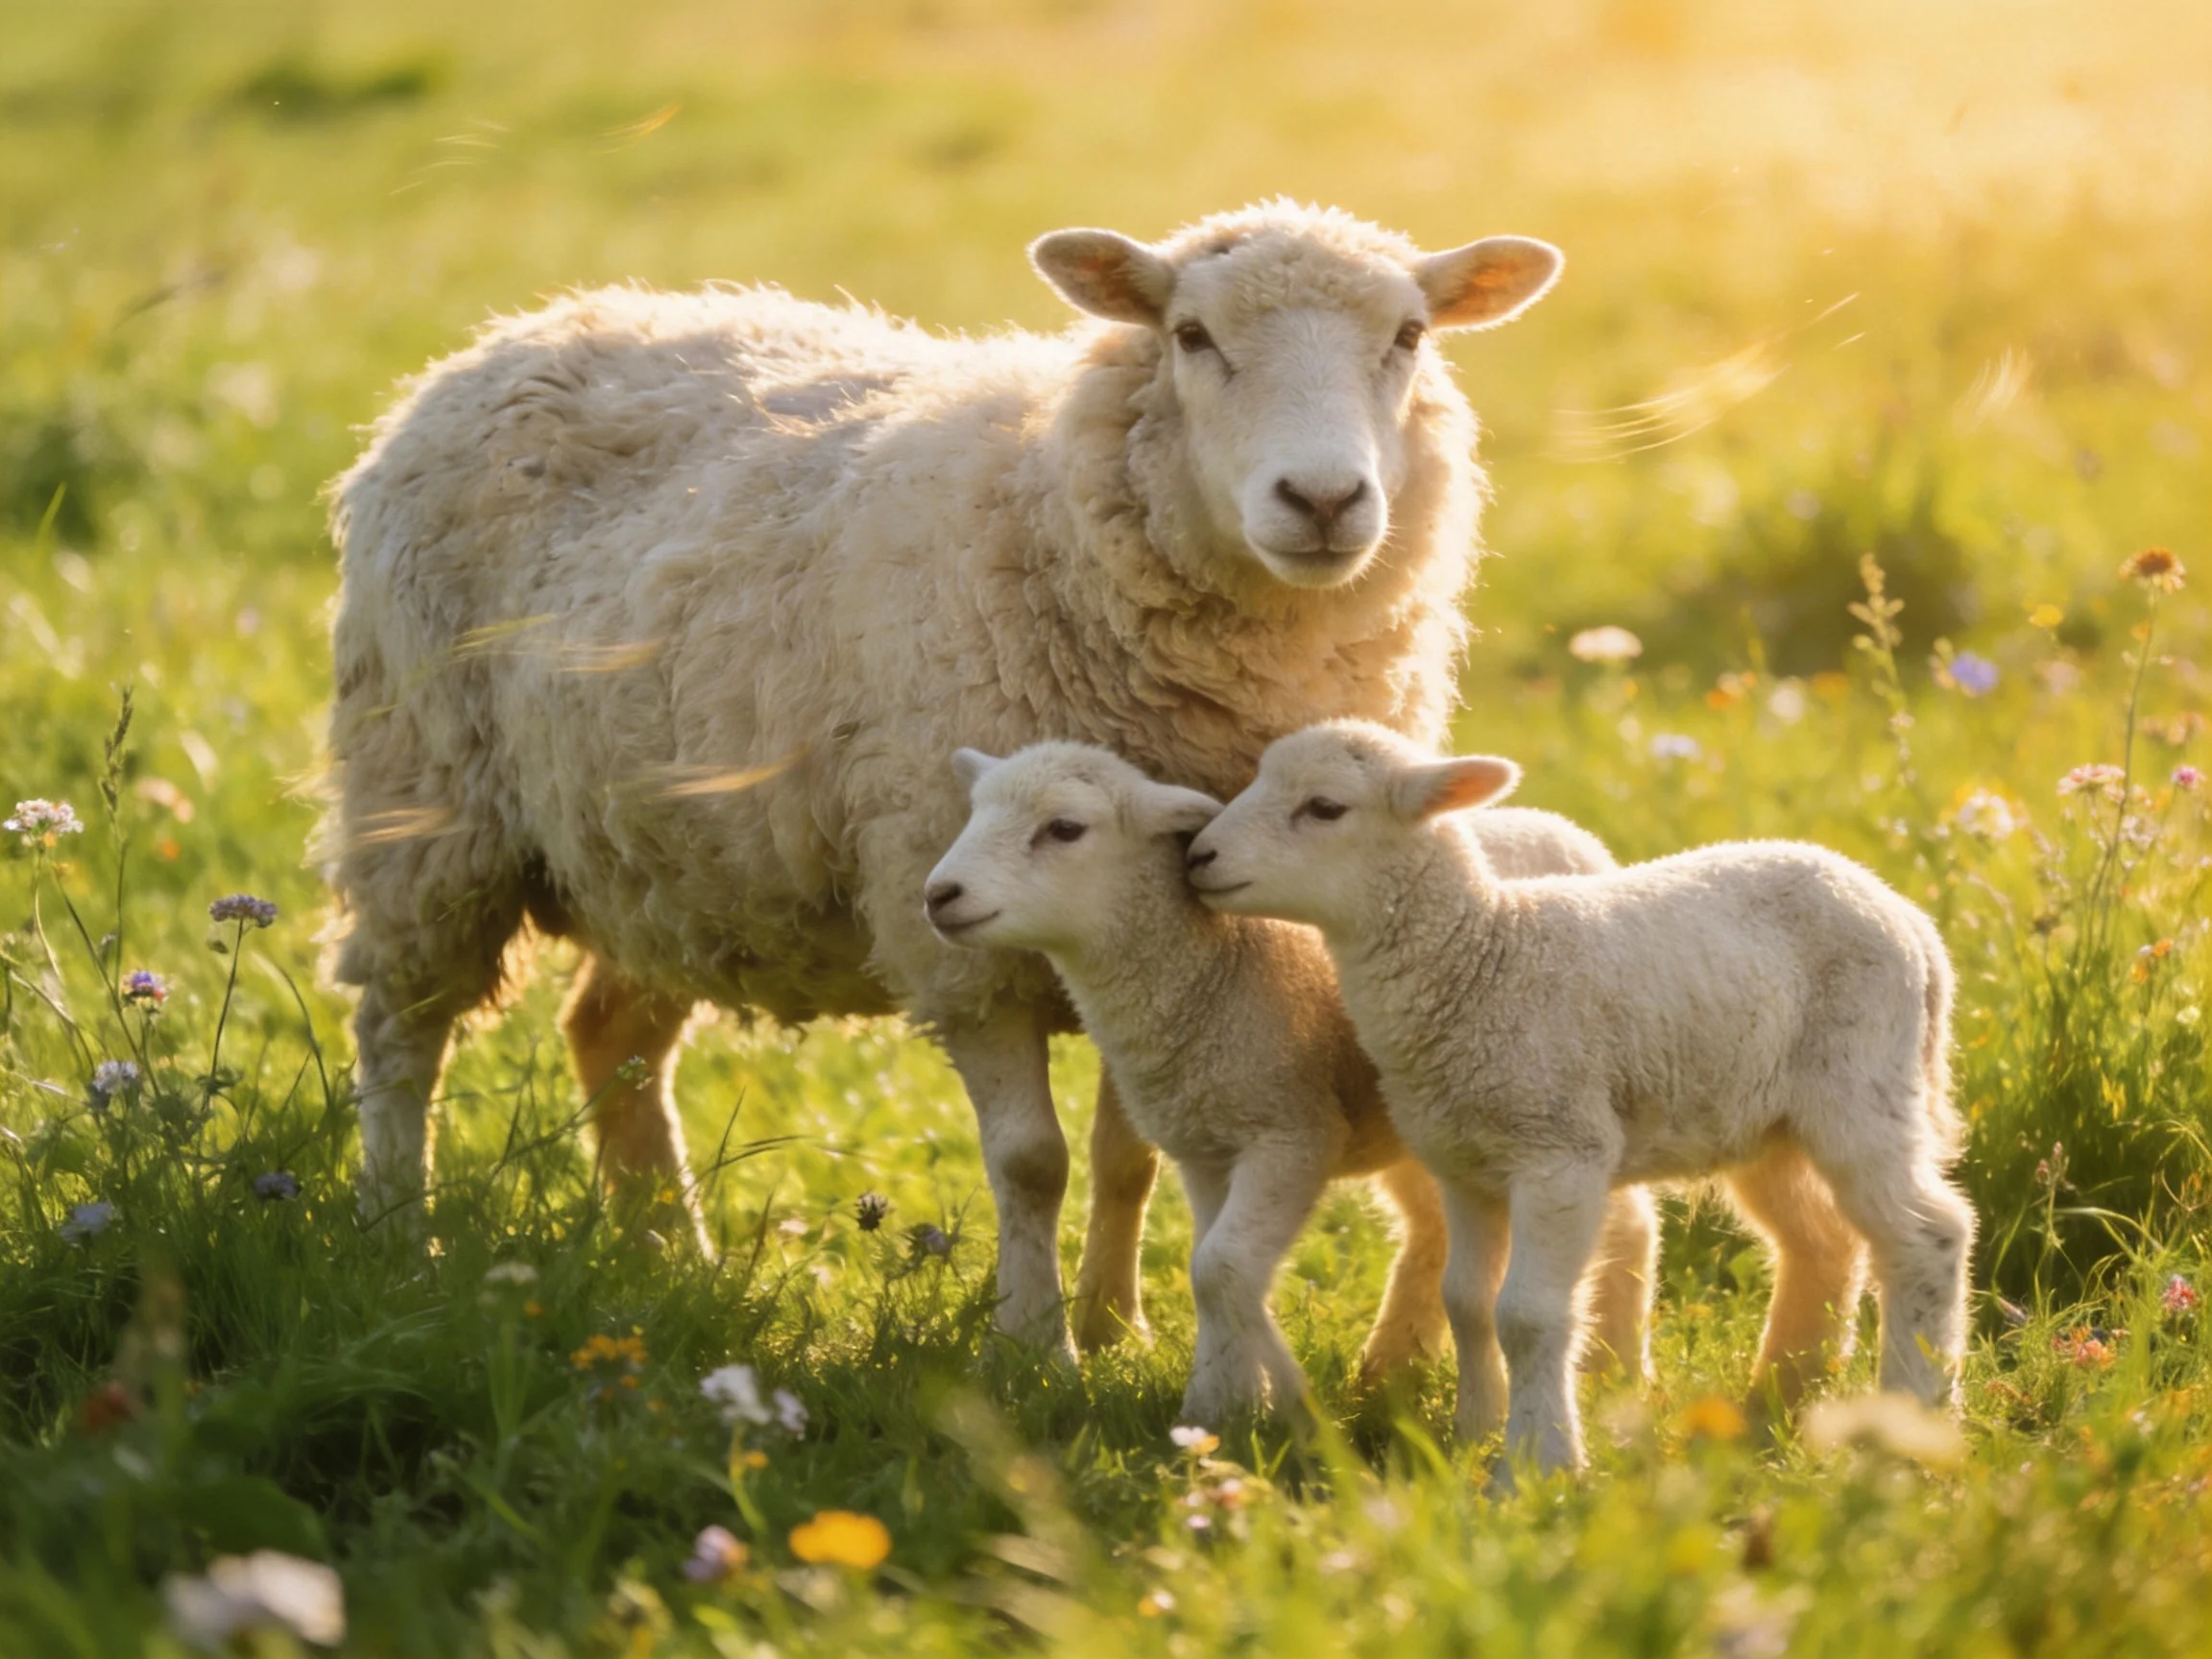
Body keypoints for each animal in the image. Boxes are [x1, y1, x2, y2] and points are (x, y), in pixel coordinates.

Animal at [323, 201, 1565, 1357]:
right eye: (1191, 334)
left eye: (1408, 335)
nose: (1321, 501)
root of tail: (526, 326)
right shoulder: (958, 940)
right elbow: (1030, 1163)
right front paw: (1034, 1345)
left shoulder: (1162, 928)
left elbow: (1127, 1153)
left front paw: (1117, 1328)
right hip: (424, 806)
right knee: (400, 1035)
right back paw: (399, 1238)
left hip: (657, 852)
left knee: (608, 1033)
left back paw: (667, 1252)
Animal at [923, 741, 1660, 1424]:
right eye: (973, 811)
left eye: (1066, 828)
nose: (938, 896)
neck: (1216, 971)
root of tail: (1563, 826)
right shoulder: (1205, 1147)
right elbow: (1210, 1264)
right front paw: (1219, 1405)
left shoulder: (1290, 1134)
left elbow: (1221, 1266)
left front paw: (1277, 1407)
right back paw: (1397, 1367)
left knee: (1627, 1223)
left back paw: (1616, 1367)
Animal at [1186, 720, 1975, 1475]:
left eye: (1324, 807)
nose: (1197, 857)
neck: (1479, 957)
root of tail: (1911, 920)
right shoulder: (1464, 1164)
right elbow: (1467, 1302)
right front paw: (1473, 1433)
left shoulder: (1559, 1153)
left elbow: (1529, 1315)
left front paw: (1539, 1462)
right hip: (1767, 1120)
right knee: (1825, 1239)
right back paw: (1781, 1397)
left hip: (1863, 1088)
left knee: (1927, 1235)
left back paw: (1914, 1413)